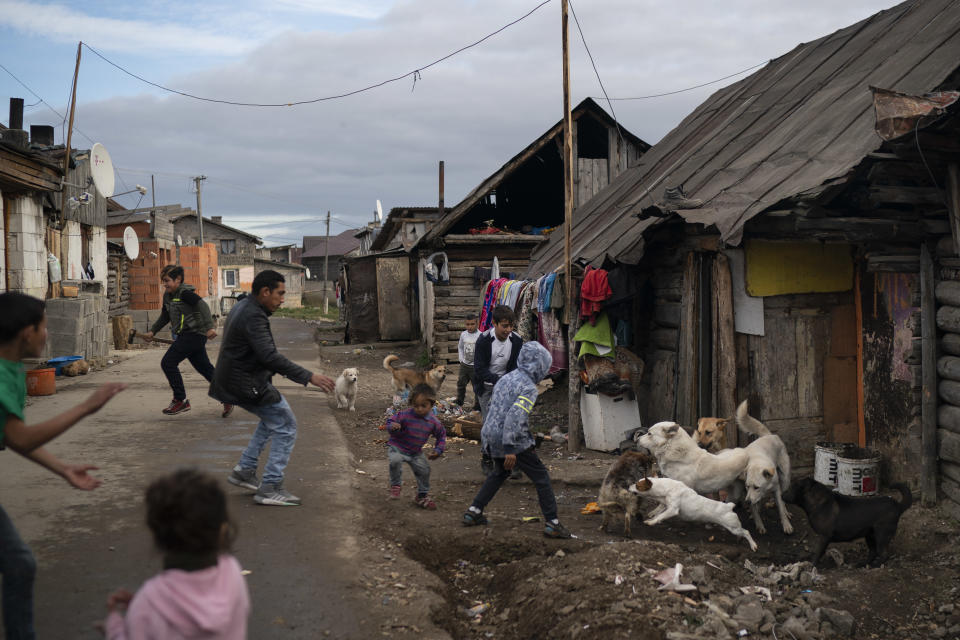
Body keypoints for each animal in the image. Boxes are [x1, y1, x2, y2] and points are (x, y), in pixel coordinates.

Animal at [788, 478, 916, 568]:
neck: (818, 502)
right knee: (873, 552)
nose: (784, 492)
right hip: (870, 535)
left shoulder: (823, 537)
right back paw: (863, 564)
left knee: (883, 554)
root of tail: (897, 505)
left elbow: (817, 552)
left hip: (881, 535)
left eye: (792, 487)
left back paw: (875, 565)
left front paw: (812, 566)